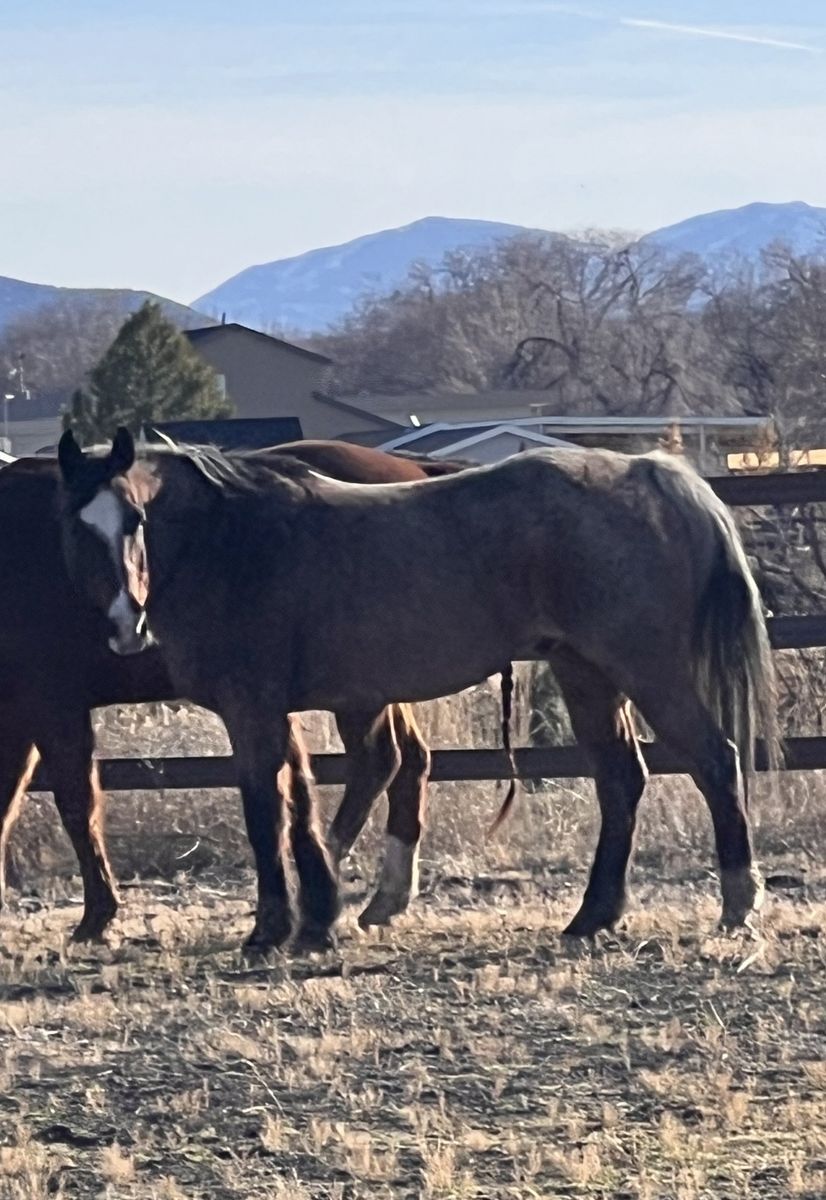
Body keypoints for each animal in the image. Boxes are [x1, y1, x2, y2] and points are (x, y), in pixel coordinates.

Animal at [0, 439, 474, 946]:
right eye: (75, 528)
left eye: (135, 526)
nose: (128, 623)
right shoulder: (17, 716)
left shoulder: (55, 707)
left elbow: (75, 804)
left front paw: (96, 917)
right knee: (410, 761)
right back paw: (382, 896)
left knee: (379, 761)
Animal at [57, 428, 779, 954]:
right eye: (78, 526)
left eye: (135, 520)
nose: (125, 625)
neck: (231, 540)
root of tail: (655, 473)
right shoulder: (277, 713)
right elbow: (300, 807)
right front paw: (314, 918)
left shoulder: (251, 711)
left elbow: (266, 813)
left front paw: (270, 929)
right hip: (587, 675)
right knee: (622, 780)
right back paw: (593, 915)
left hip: (648, 672)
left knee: (716, 763)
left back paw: (738, 904)